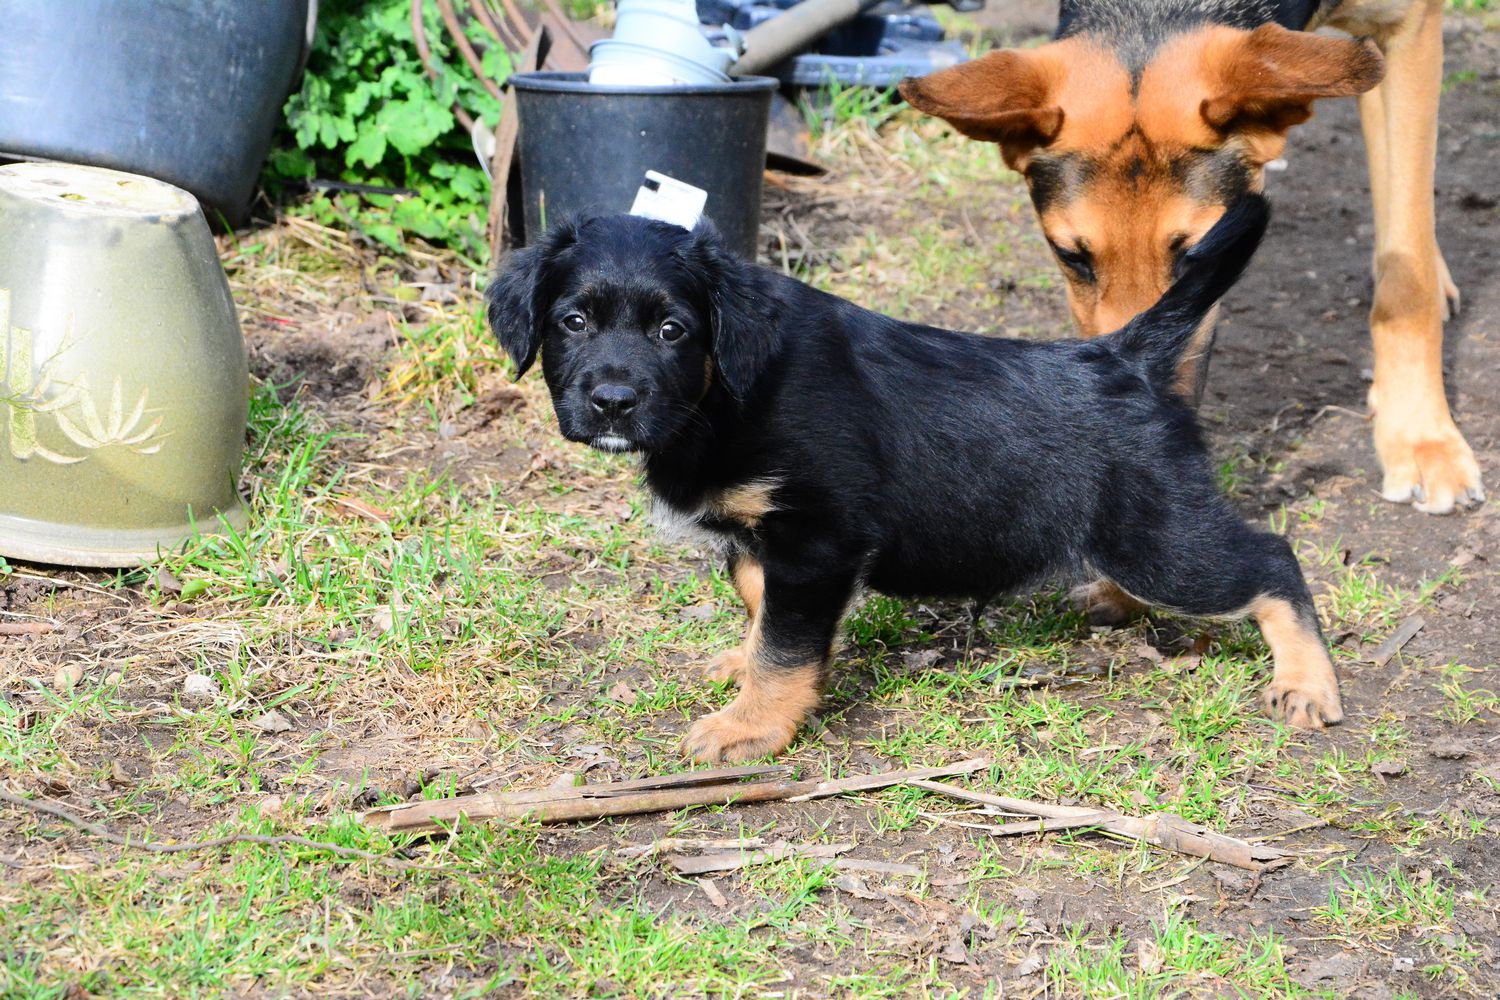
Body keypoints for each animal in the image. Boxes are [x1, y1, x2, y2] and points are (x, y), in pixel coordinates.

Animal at [487, 194, 1343, 764]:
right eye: (571, 322)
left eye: (673, 330)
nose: (612, 401)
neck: (723, 390)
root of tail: (1126, 357)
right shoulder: (772, 540)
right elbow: (763, 605)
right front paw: (748, 666)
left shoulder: (817, 536)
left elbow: (786, 642)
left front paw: (750, 725)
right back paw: (1111, 602)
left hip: (1159, 537)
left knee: (1271, 561)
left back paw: (1308, 682)